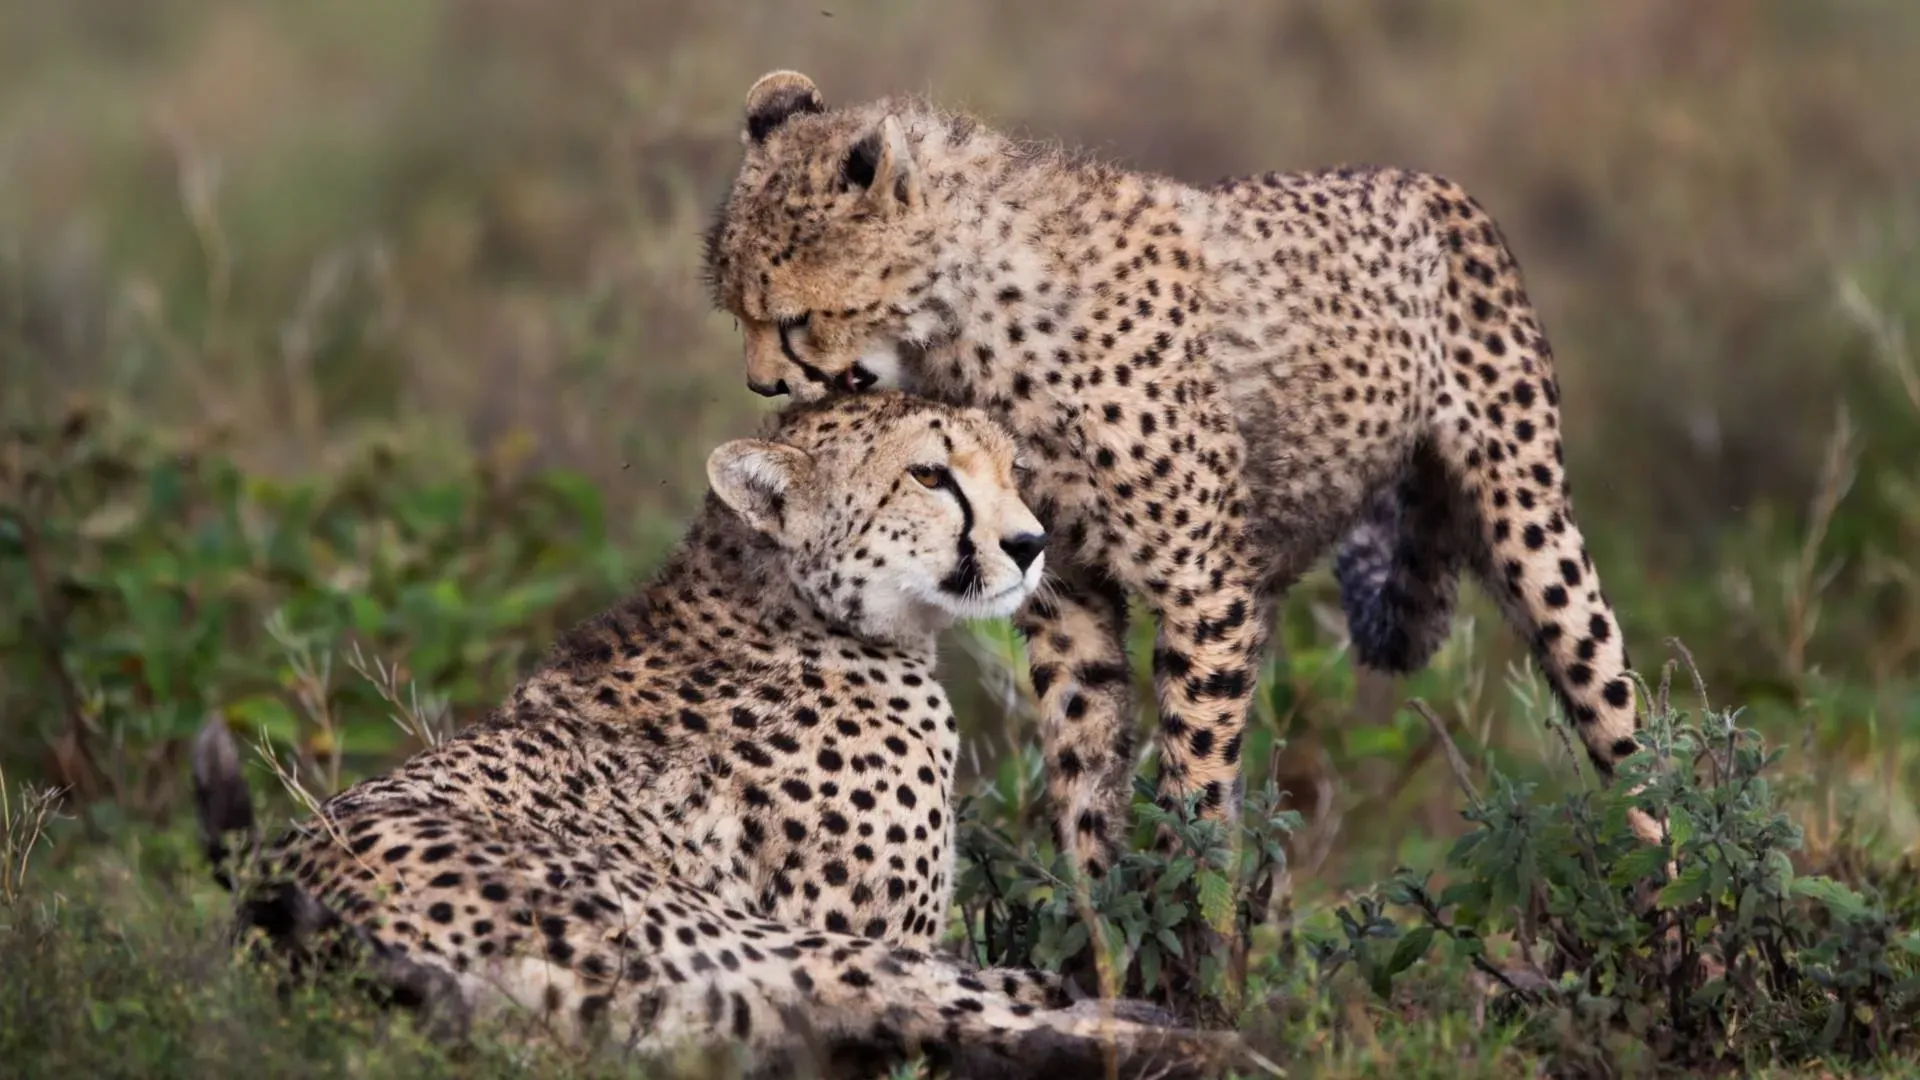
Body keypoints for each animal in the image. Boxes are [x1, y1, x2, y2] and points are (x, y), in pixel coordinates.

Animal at [190, 390, 1241, 1079]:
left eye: (1012, 470)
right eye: (930, 474)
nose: (1030, 545)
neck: (787, 604)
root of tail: (280, 944)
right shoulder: (846, 926)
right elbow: (970, 985)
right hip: (745, 946)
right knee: (922, 1005)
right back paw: (1208, 1038)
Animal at [702, 70, 1660, 882]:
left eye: (789, 319)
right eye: (734, 313)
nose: (763, 385)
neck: (964, 320)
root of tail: (1423, 177)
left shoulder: (1202, 587)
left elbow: (1194, 782)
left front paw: (1188, 938)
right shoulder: (1062, 586)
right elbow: (1085, 768)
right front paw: (1107, 941)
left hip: (1530, 523)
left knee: (1625, 726)